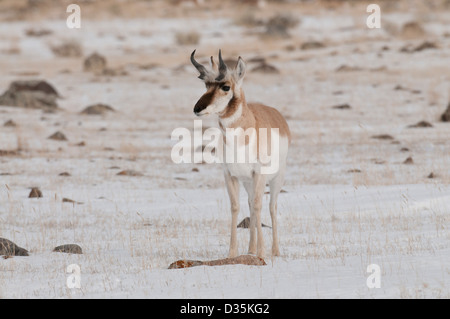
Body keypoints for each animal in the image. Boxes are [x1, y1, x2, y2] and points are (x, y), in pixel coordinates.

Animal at [191, 50, 292, 260]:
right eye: (206, 85)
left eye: (225, 87)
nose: (197, 109)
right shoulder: (231, 175)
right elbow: (236, 206)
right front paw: (232, 253)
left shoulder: (259, 174)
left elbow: (259, 205)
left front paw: (262, 252)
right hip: (248, 182)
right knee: (251, 205)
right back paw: (251, 249)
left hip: (276, 179)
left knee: (271, 207)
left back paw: (274, 250)